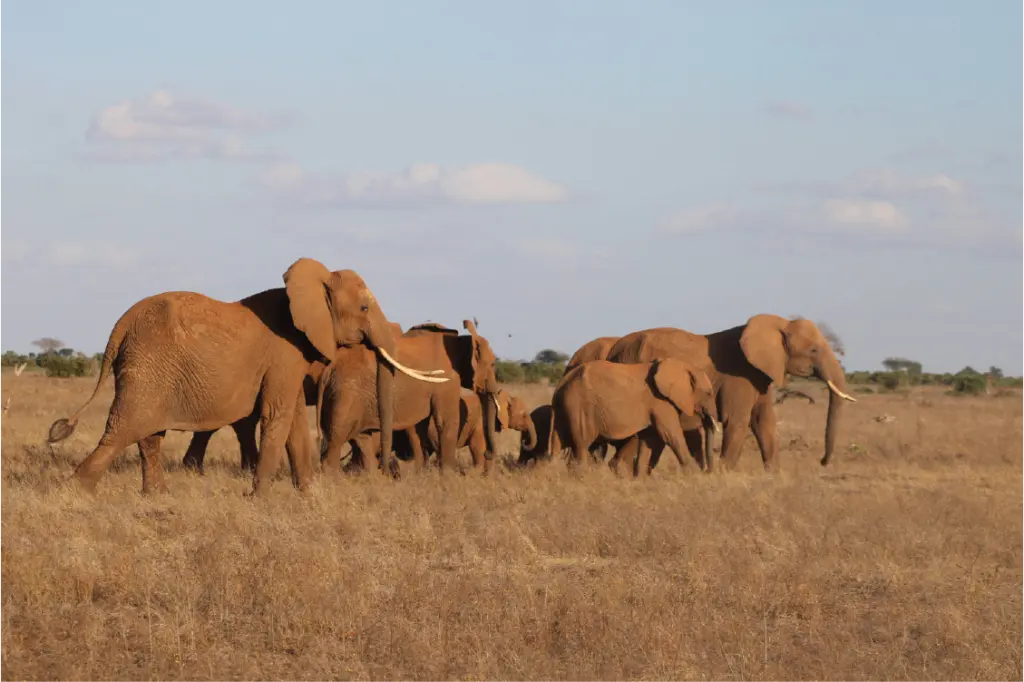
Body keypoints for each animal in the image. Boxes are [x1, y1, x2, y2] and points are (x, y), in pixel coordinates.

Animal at [46, 258, 448, 495]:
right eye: (364, 307)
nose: (388, 473)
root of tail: (121, 323)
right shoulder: (285, 352)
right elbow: (277, 417)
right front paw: (260, 497)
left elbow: (294, 422)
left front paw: (307, 495)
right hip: (147, 365)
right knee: (123, 430)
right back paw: (75, 493)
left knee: (149, 435)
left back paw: (155, 496)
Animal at [317, 319, 501, 475]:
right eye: (493, 364)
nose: (488, 453)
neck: (462, 341)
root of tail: (329, 367)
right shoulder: (446, 379)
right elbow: (446, 420)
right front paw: (448, 477)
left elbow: (417, 426)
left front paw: (420, 475)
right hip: (346, 394)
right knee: (338, 438)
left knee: (362, 440)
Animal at [548, 358, 719, 475]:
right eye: (709, 393)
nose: (707, 471)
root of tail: (561, 384)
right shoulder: (660, 402)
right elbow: (670, 435)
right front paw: (695, 475)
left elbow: (649, 438)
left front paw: (640, 480)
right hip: (580, 407)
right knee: (582, 445)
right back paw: (582, 478)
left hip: (565, 410)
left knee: (558, 445)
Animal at [604, 315, 857, 474]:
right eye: (813, 350)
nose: (822, 461)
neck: (778, 323)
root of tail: (614, 349)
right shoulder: (740, 376)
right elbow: (738, 422)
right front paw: (724, 477)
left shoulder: (760, 374)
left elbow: (764, 421)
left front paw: (774, 477)